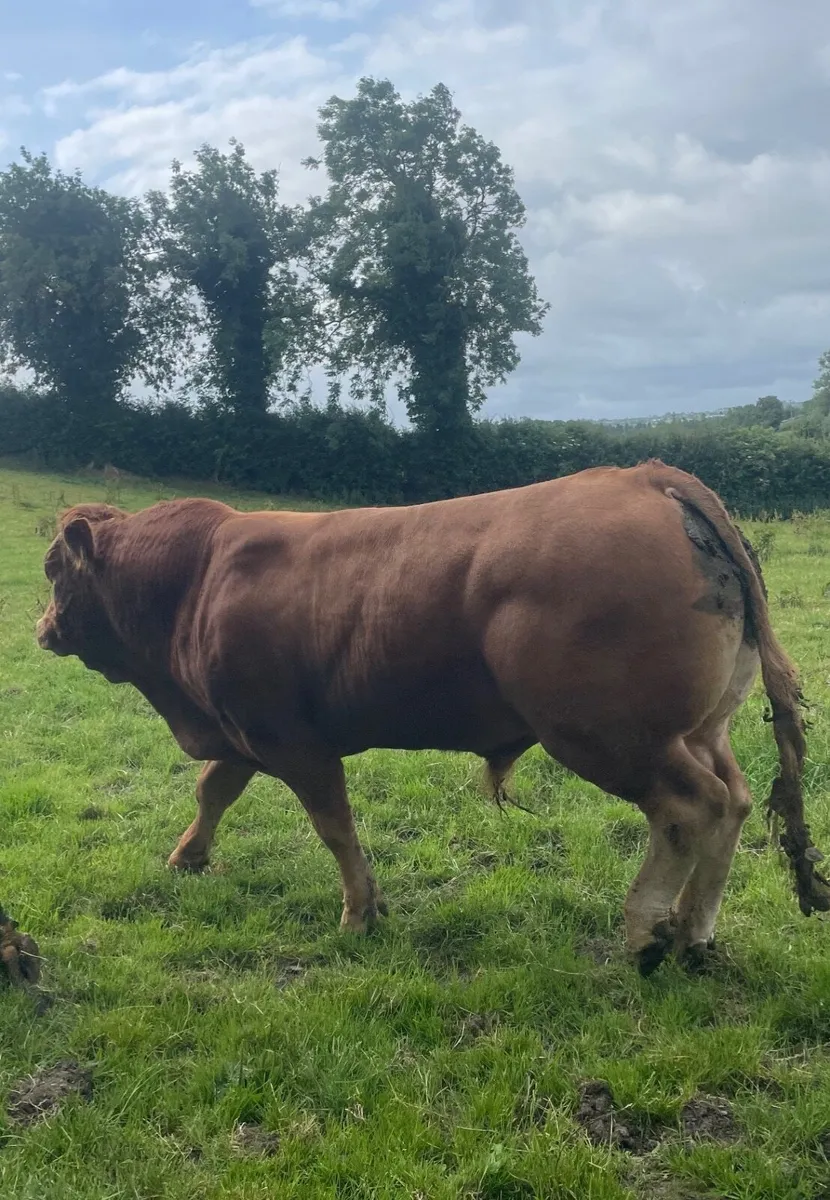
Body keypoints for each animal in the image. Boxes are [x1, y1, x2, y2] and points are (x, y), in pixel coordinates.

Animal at [36, 459, 829, 975]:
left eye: (50, 570)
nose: (41, 627)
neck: (194, 581)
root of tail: (649, 476)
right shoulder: (241, 732)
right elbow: (213, 792)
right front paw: (188, 857)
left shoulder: (291, 740)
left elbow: (333, 826)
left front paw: (360, 912)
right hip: (699, 731)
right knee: (733, 802)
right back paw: (694, 933)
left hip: (612, 736)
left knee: (688, 809)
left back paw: (647, 934)